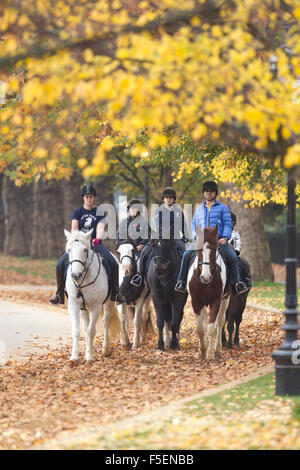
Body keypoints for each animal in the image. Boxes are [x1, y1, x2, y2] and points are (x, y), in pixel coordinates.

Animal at [64, 229, 119, 362]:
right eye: (69, 250)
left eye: (85, 250)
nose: (76, 275)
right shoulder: (74, 305)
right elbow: (77, 330)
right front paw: (74, 357)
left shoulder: (96, 307)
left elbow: (91, 331)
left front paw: (89, 356)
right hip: (83, 308)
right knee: (86, 325)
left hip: (109, 303)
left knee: (105, 322)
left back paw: (106, 350)